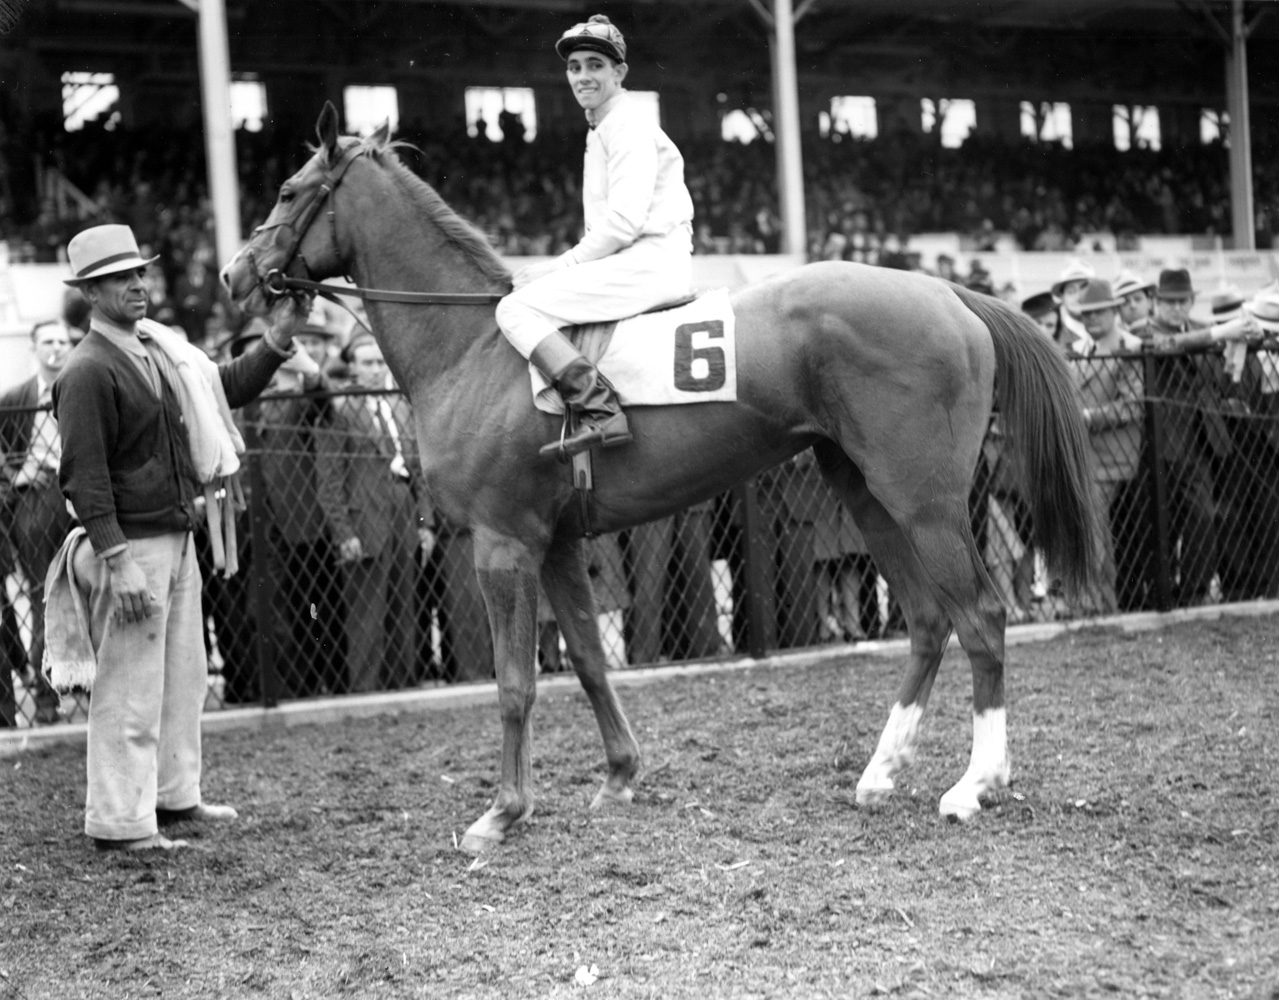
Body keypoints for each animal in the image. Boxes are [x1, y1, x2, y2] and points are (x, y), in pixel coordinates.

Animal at [219, 105, 1099, 859]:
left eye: (289, 191)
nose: (234, 274)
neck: (473, 348)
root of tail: (945, 290)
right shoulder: (557, 545)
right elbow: (586, 659)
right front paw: (618, 777)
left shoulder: (503, 544)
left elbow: (514, 682)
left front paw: (500, 813)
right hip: (865, 492)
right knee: (924, 618)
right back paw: (879, 774)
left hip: (926, 502)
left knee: (980, 616)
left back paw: (974, 785)